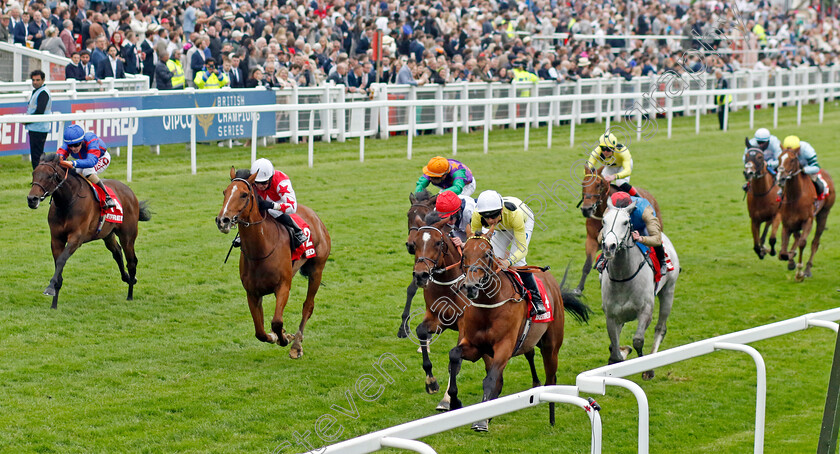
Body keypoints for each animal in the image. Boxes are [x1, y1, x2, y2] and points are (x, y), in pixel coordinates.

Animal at [26, 153, 150, 308]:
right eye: (34, 173)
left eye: (50, 176)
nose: (32, 199)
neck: (67, 202)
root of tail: (129, 191)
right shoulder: (56, 239)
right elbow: (58, 265)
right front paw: (54, 304)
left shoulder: (76, 238)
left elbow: (61, 261)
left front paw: (49, 288)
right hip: (107, 234)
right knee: (117, 252)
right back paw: (128, 278)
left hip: (128, 235)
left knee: (132, 261)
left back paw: (130, 295)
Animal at [217, 168, 332, 358]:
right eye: (225, 192)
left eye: (244, 194)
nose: (222, 220)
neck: (260, 250)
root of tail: (315, 217)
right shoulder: (252, 293)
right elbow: (260, 332)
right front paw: (277, 336)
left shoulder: (283, 286)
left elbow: (277, 321)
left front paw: (284, 338)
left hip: (317, 269)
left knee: (308, 306)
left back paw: (296, 345)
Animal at [398, 191, 436, 336]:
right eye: (408, 214)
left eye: (424, 215)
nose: (411, 245)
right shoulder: (420, 271)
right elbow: (411, 290)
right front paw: (403, 328)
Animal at [446, 232, 592, 430]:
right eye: (464, 254)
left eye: (487, 254)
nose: (471, 286)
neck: (489, 305)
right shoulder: (476, 346)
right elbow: (454, 355)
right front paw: (455, 402)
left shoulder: (505, 347)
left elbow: (490, 380)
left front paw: (481, 420)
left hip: (551, 346)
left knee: (551, 379)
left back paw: (552, 418)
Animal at [776, 149, 832, 280]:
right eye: (779, 158)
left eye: (792, 159)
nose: (781, 178)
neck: (795, 196)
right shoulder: (787, 223)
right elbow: (783, 252)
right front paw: (790, 258)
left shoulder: (808, 221)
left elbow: (802, 242)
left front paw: (799, 273)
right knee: (797, 236)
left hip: (823, 215)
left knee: (815, 243)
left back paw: (807, 269)